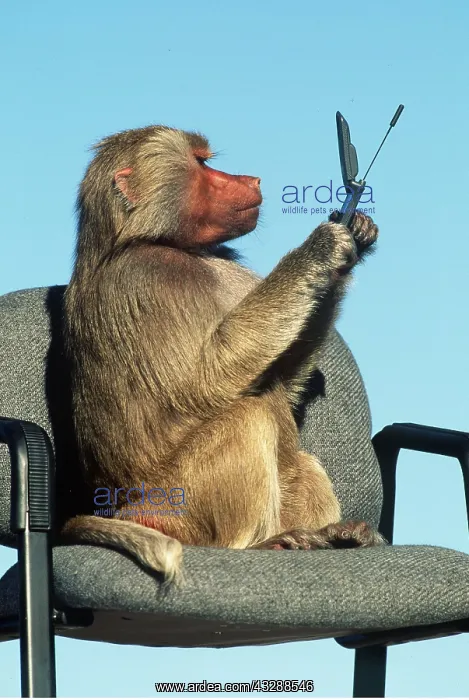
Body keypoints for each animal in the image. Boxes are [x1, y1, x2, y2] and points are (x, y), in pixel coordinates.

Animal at [61, 125, 385, 583]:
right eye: (201, 162)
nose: (254, 180)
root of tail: (127, 510)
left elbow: (279, 381)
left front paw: (355, 232)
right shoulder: (150, 279)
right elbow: (209, 376)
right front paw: (321, 246)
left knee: (298, 457)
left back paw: (334, 535)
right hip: (182, 504)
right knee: (248, 416)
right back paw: (258, 544)